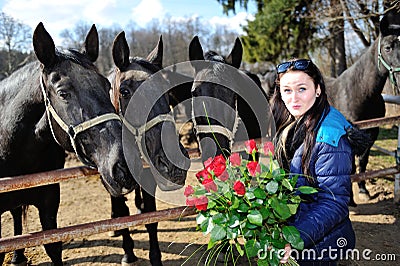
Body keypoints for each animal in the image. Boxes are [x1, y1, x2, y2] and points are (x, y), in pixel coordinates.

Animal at [108, 31, 191, 266]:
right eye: (125, 91)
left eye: (167, 92)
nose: (174, 165)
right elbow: (122, 215)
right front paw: (128, 252)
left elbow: (151, 218)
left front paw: (155, 258)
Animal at [324, 10, 400, 202]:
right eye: (388, 47)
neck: (360, 94)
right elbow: (349, 165)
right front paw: (350, 197)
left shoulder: (371, 133)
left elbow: (363, 162)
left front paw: (363, 190)